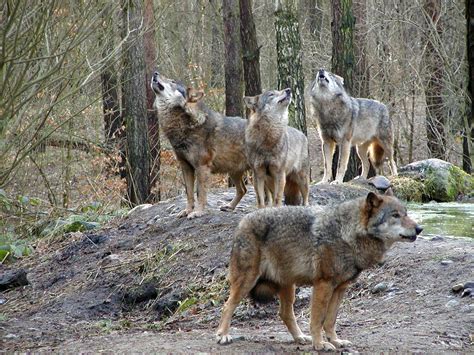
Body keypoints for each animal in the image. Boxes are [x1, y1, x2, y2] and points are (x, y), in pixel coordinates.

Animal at [216, 191, 422, 352]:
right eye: (395, 215)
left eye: (406, 214)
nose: (420, 228)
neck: (347, 233)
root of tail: (242, 222)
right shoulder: (323, 284)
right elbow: (317, 319)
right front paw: (320, 345)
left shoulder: (340, 289)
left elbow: (330, 320)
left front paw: (335, 341)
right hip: (248, 280)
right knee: (227, 306)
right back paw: (223, 335)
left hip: (289, 286)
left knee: (284, 313)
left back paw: (300, 338)